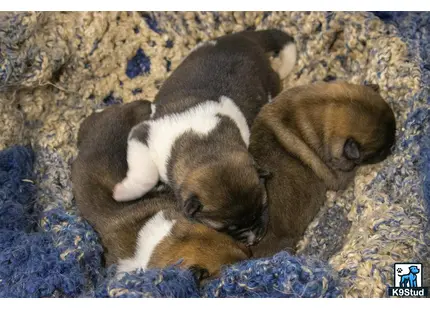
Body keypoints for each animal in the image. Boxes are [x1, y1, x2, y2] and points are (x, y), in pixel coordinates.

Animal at [112, 28, 298, 245]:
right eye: (226, 228)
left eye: (263, 207)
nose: (253, 239)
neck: (206, 145)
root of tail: (246, 37)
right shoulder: (143, 134)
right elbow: (145, 176)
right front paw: (123, 192)